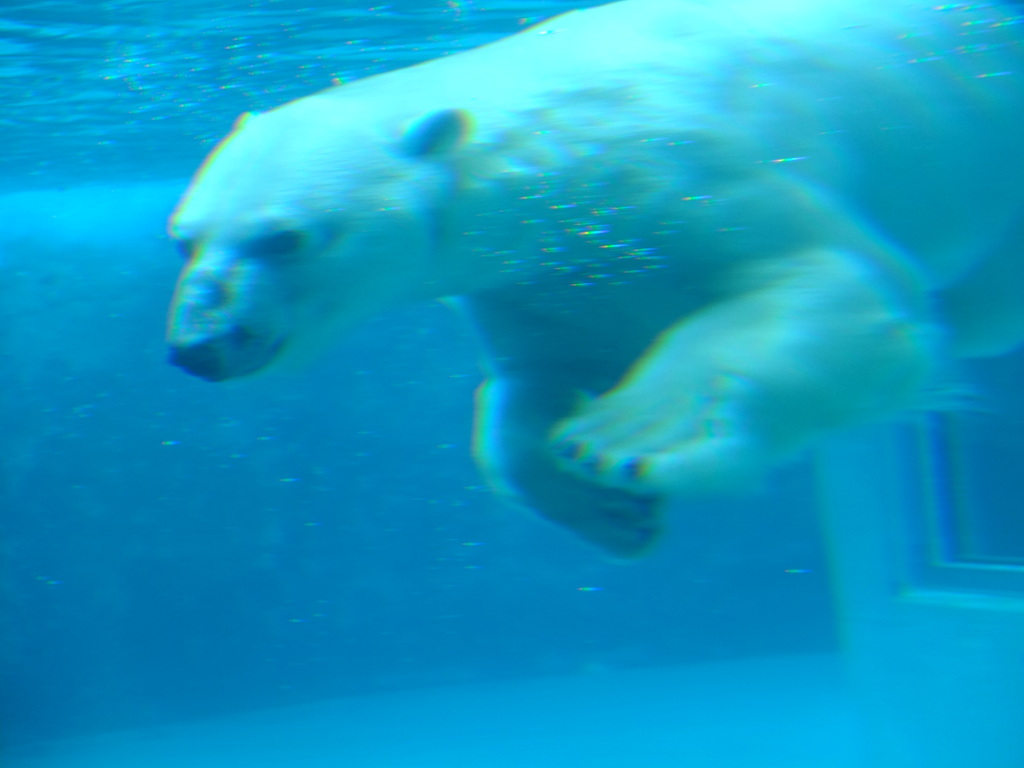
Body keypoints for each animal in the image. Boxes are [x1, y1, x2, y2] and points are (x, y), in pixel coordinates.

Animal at [166, 0, 1024, 557]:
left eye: (285, 237)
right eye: (183, 239)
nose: (200, 347)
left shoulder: (702, 170)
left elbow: (828, 284)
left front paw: (625, 439)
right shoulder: (540, 275)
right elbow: (533, 379)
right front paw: (609, 509)